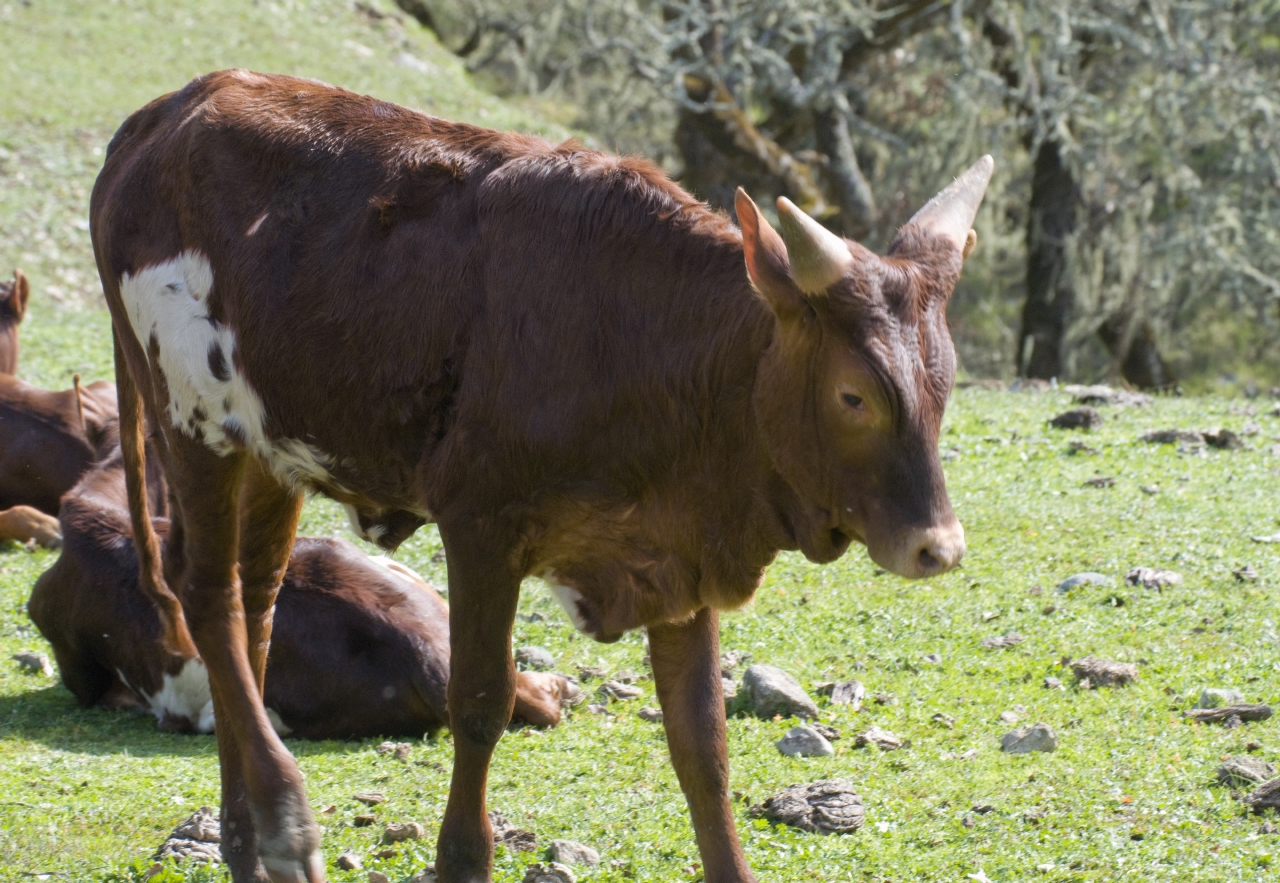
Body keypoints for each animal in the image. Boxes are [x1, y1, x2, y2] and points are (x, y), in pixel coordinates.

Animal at [92, 70, 988, 880]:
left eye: (944, 382)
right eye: (854, 394)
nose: (938, 546)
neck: (653, 342)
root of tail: (164, 113)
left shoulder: (678, 555)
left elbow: (702, 744)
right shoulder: (481, 529)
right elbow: (481, 703)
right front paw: (461, 856)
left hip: (270, 448)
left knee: (256, 605)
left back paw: (245, 838)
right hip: (192, 421)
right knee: (209, 597)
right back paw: (283, 821)